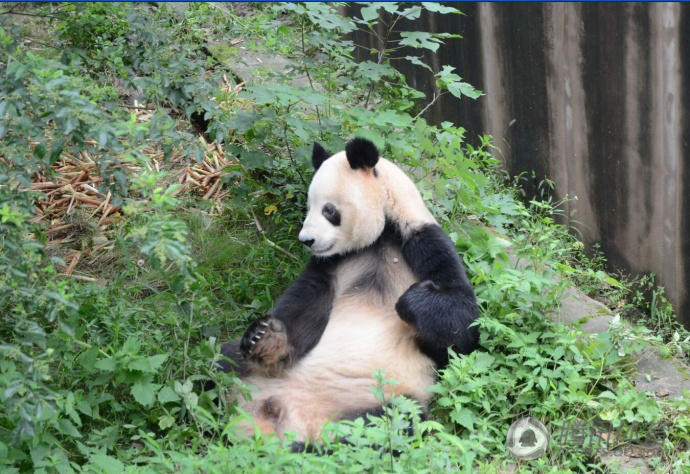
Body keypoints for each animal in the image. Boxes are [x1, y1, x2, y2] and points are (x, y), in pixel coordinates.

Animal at [220, 137, 478, 444]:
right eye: (309, 207)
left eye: (329, 210)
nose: (306, 240)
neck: (381, 237)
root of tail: (288, 418)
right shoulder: (331, 264)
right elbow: (304, 306)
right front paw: (266, 335)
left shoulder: (422, 241)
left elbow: (463, 331)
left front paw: (413, 300)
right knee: (225, 357)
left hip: (384, 395)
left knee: (388, 425)